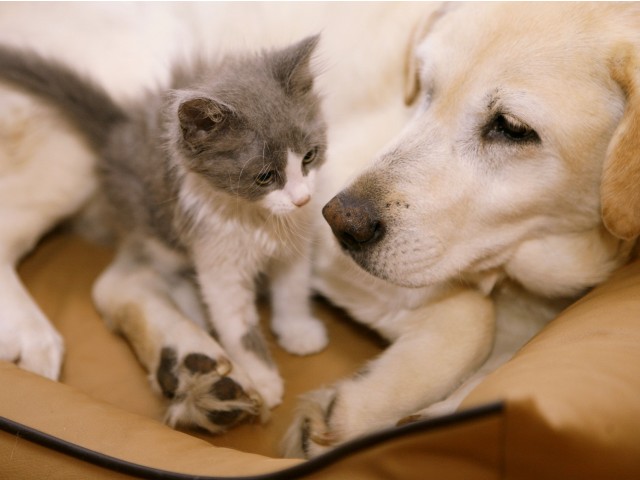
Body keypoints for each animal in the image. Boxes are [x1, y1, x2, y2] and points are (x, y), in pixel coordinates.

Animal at [0, 35, 329, 432]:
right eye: (265, 177)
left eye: (309, 156)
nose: (302, 198)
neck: (261, 220)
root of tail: (117, 129)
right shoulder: (217, 257)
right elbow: (237, 324)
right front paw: (262, 379)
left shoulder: (294, 248)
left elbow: (292, 289)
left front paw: (298, 331)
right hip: (153, 226)